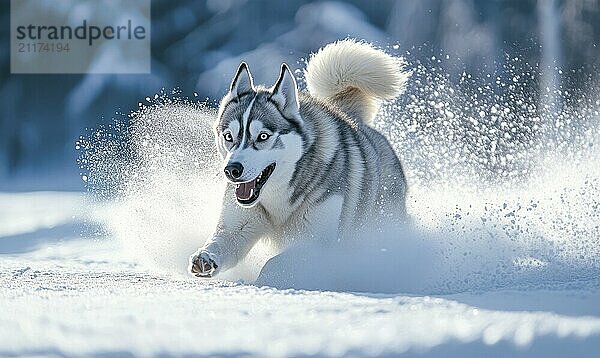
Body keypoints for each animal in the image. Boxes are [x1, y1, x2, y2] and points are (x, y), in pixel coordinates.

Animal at [190, 39, 410, 276]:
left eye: (263, 136)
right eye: (229, 136)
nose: (231, 170)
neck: (278, 201)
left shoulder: (316, 244)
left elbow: (273, 264)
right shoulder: (237, 225)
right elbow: (220, 242)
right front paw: (206, 258)